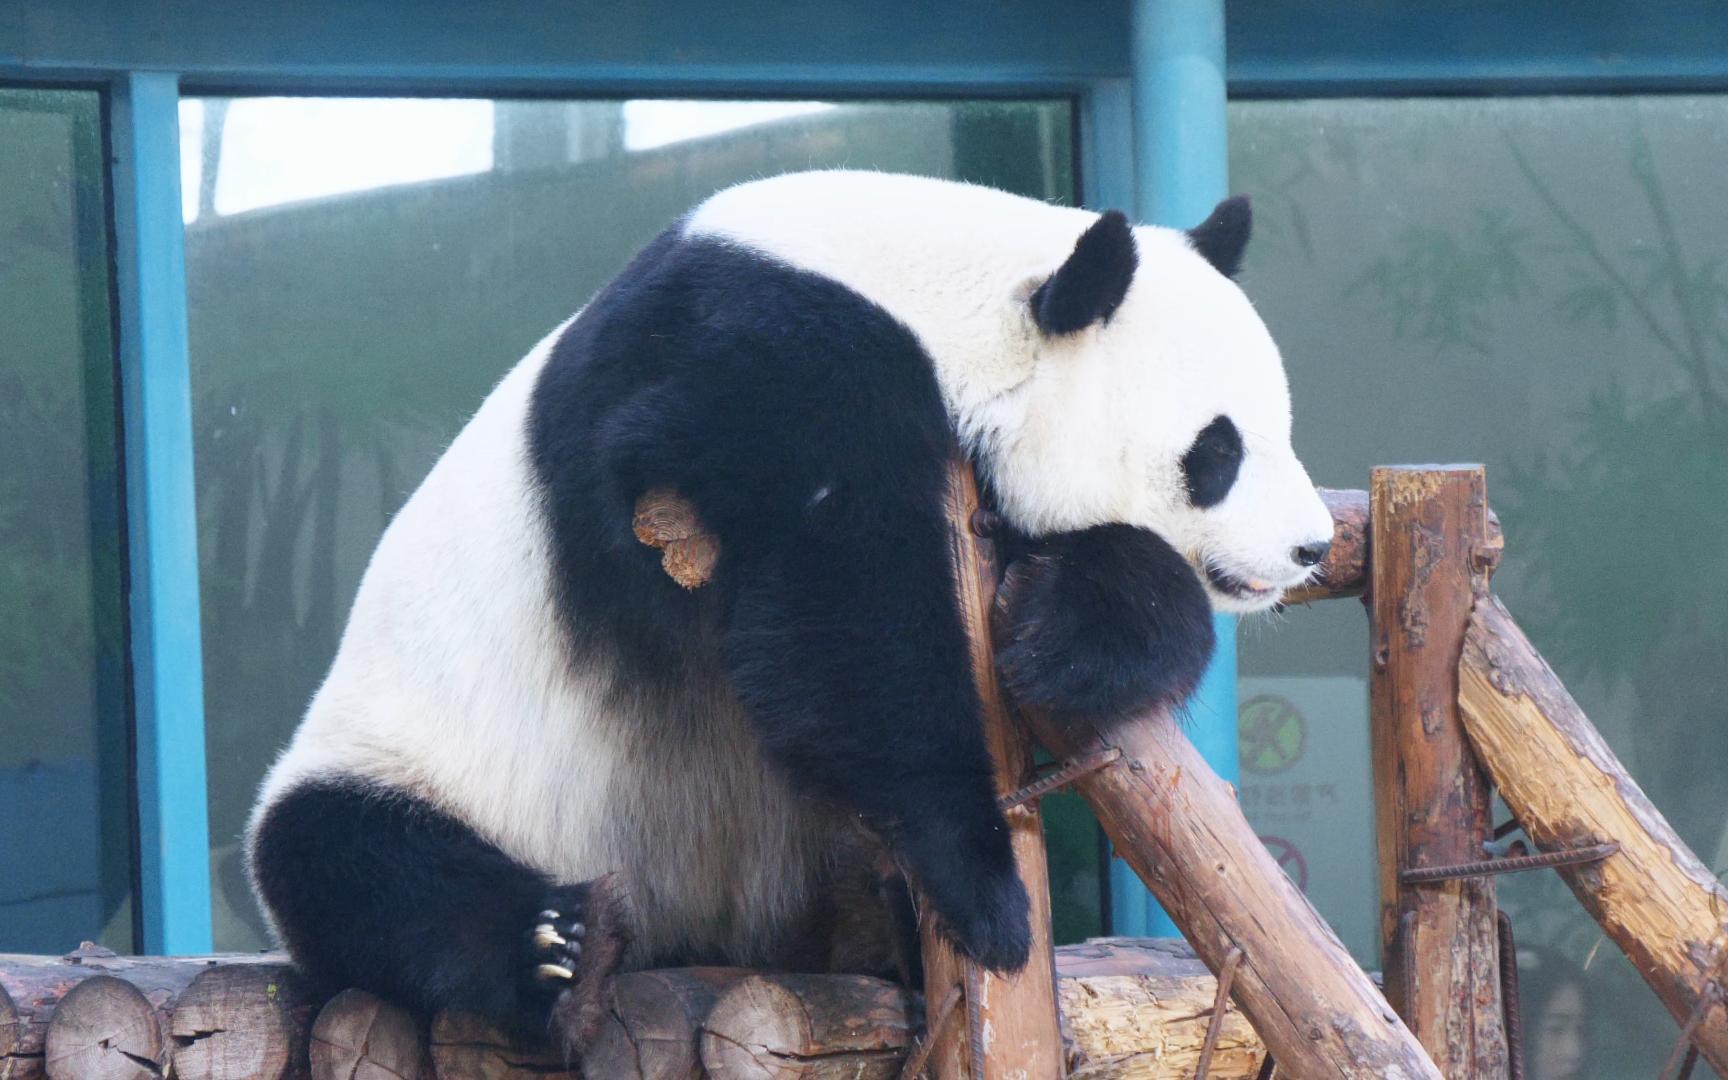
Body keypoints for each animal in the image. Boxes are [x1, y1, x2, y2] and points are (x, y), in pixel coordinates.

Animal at [243, 170, 1327, 1050]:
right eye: (1217, 451)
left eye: (1280, 427)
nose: (1311, 548)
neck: (944, 284)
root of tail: (699, 929)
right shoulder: (758, 356)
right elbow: (843, 604)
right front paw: (980, 887)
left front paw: (1070, 642)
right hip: (424, 764)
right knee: (353, 863)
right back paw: (560, 957)